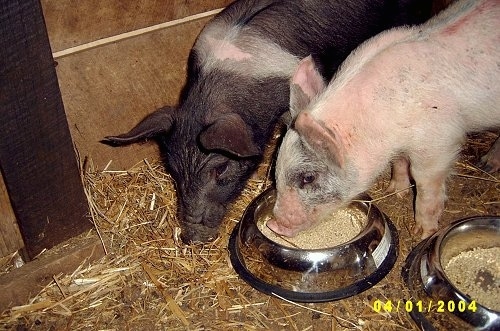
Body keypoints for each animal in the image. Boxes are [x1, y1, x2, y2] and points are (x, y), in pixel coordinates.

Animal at [270, 0, 500, 240]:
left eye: (308, 178)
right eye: (275, 170)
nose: (273, 225)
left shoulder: (439, 144)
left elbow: (425, 183)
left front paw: (423, 233)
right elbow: (399, 162)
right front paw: (396, 191)